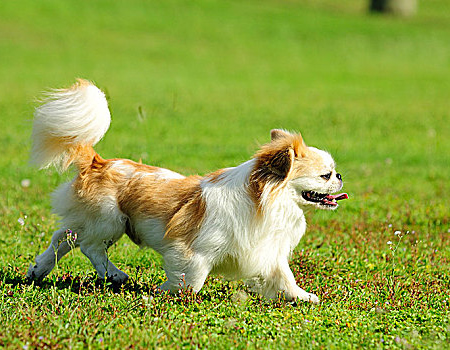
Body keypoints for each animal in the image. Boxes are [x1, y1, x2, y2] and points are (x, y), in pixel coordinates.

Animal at [26, 79, 348, 304]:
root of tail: (98, 162)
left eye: (333, 172)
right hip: (109, 220)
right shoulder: (192, 250)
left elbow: (284, 278)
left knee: (64, 238)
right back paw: (115, 275)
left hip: (94, 221)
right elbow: (192, 280)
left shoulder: (266, 253)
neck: (269, 203)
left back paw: (39, 270)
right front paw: (163, 291)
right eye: (325, 175)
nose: (341, 177)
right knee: (88, 246)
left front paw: (303, 297)